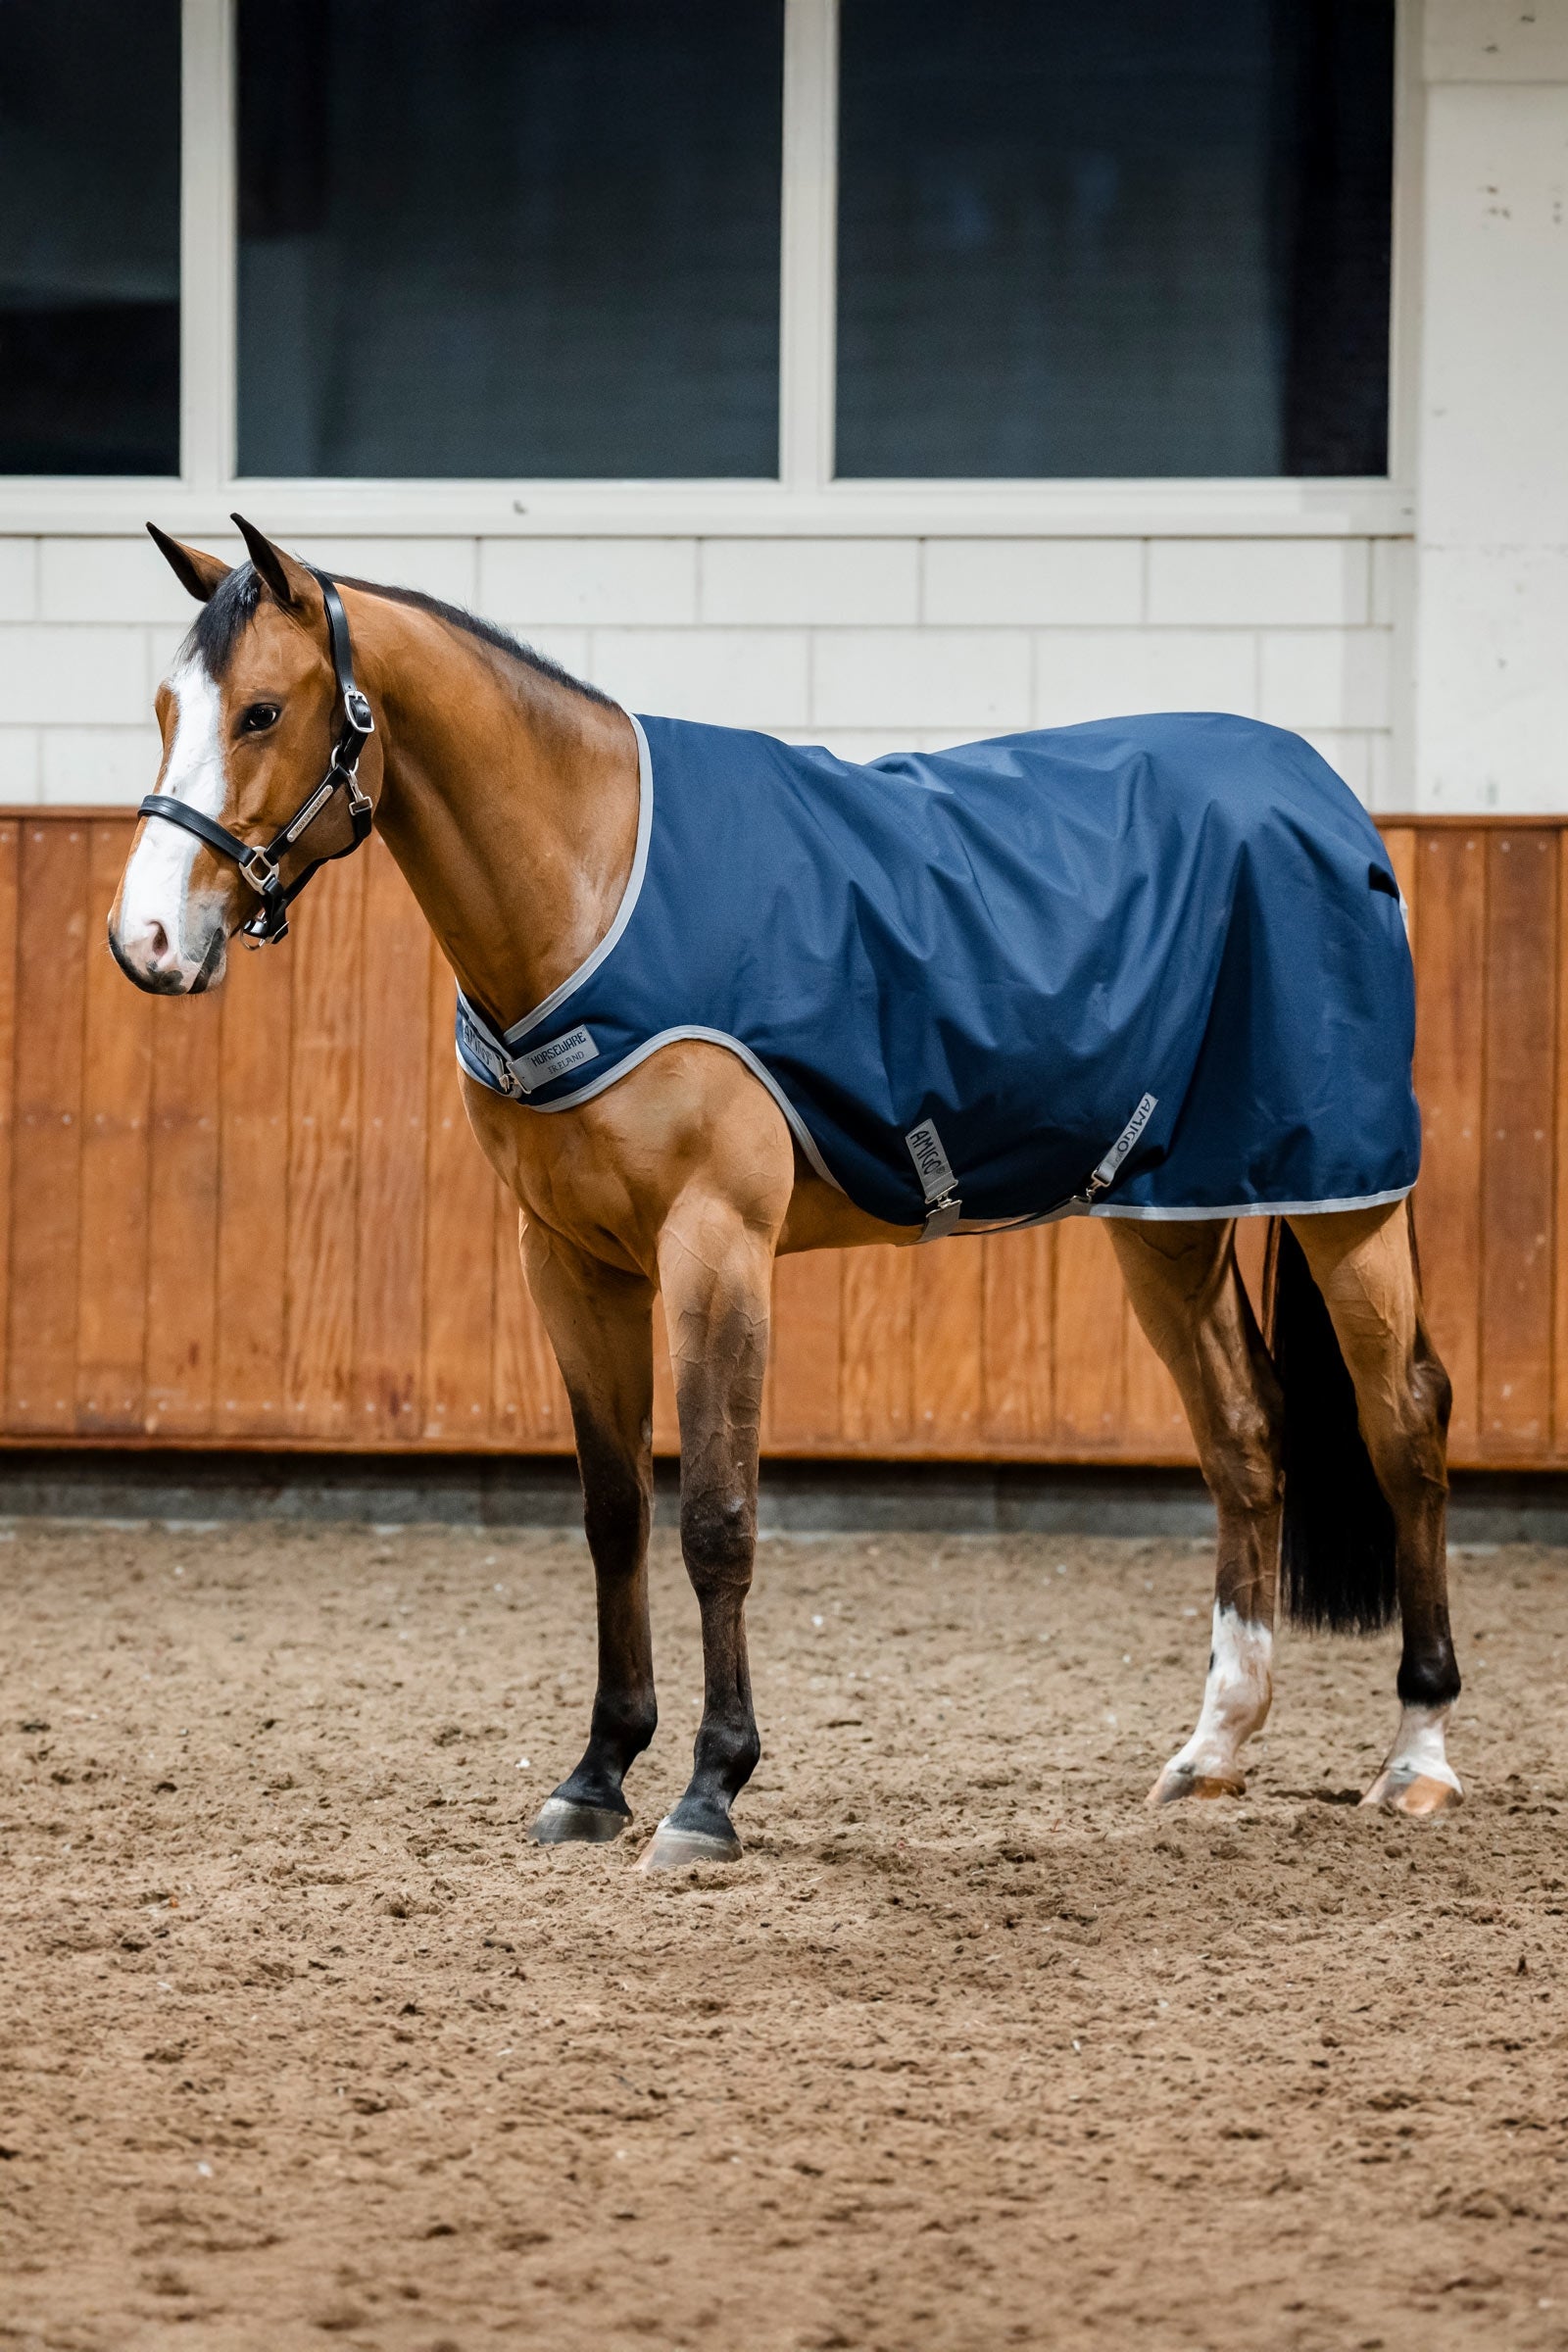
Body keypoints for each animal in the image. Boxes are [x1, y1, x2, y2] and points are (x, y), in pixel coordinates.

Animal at [108, 517, 1462, 1870]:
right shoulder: (571, 1259)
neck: (592, 884)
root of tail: (1320, 794)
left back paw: (1417, 1755)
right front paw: (597, 1776)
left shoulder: (716, 1247)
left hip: (1344, 1203)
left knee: (1403, 1424)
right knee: (1243, 1435)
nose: (147, 943)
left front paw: (709, 1791)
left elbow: (717, 1517)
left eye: (263, 712)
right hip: (1169, 1221)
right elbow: (615, 1517)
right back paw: (1212, 1750)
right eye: (167, 707)